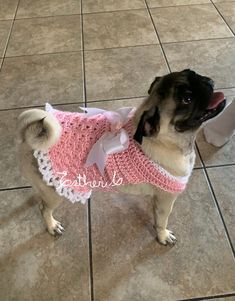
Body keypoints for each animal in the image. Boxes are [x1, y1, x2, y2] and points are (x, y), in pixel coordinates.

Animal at [17, 69, 226, 245]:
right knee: (44, 209)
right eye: (187, 99)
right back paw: (51, 225)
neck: (167, 140)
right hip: (56, 194)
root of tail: (28, 137)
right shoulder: (166, 200)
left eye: (192, 73)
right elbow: (161, 221)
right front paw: (163, 235)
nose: (207, 81)